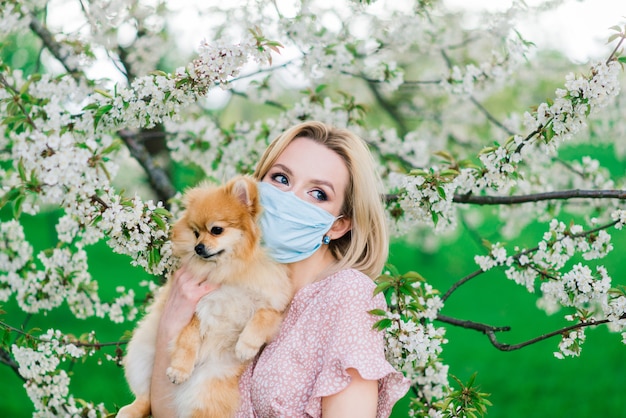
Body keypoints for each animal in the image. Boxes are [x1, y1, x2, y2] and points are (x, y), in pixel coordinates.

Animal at [116, 176, 290, 418]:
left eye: (216, 230)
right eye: (196, 233)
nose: (198, 248)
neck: (231, 270)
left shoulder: (274, 302)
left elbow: (263, 317)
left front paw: (246, 346)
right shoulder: (199, 306)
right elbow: (189, 337)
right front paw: (179, 369)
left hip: (206, 387)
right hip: (140, 356)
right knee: (145, 397)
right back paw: (130, 410)